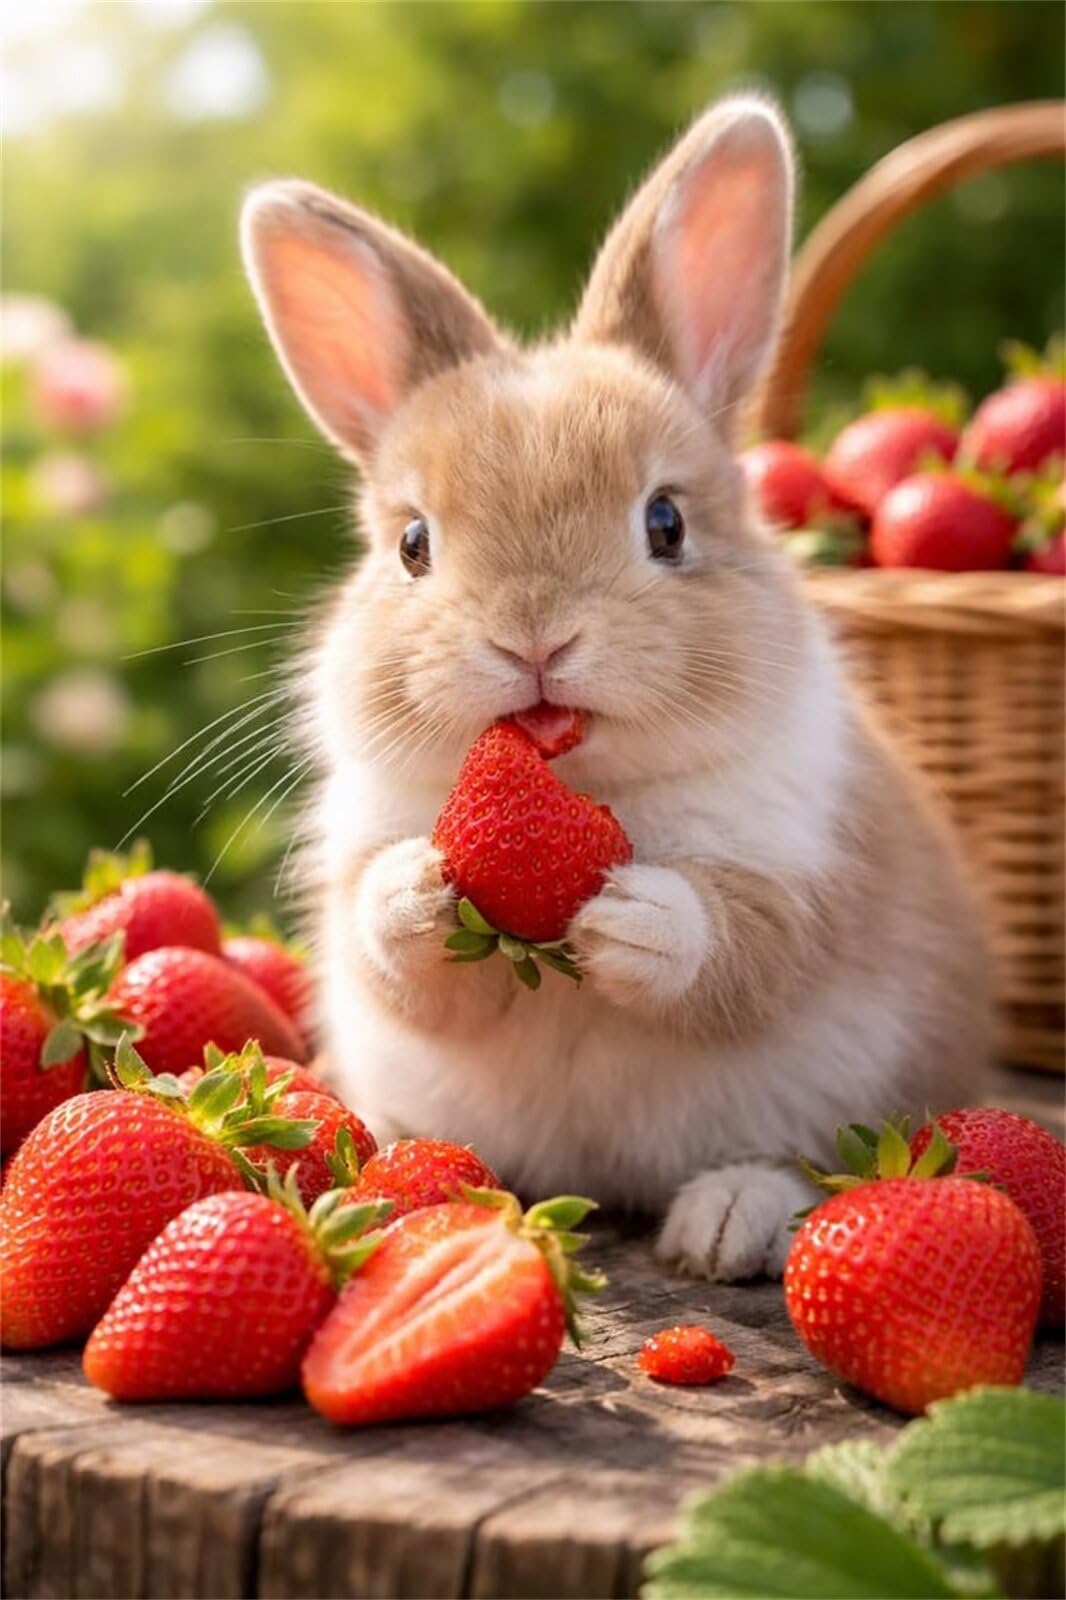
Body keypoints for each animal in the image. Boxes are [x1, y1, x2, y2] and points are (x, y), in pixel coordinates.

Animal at [240, 95, 991, 1281]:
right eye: (411, 545)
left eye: (666, 523)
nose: (533, 636)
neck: (587, 778)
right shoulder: (366, 873)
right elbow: (393, 945)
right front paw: (418, 890)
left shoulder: (801, 874)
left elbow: (731, 943)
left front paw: (630, 917)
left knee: (826, 1165)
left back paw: (724, 1224)